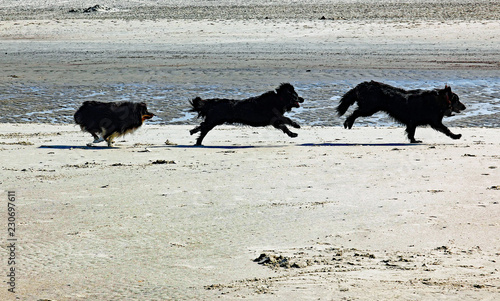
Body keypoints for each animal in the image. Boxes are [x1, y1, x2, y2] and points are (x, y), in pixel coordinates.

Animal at [336, 80, 464, 142]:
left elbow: (411, 132)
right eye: (457, 100)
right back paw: (348, 123)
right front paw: (456, 136)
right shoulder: (435, 122)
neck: (440, 100)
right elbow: (446, 129)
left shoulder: (412, 122)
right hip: (369, 108)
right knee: (354, 113)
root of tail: (362, 85)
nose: (465, 107)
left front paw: (413, 141)